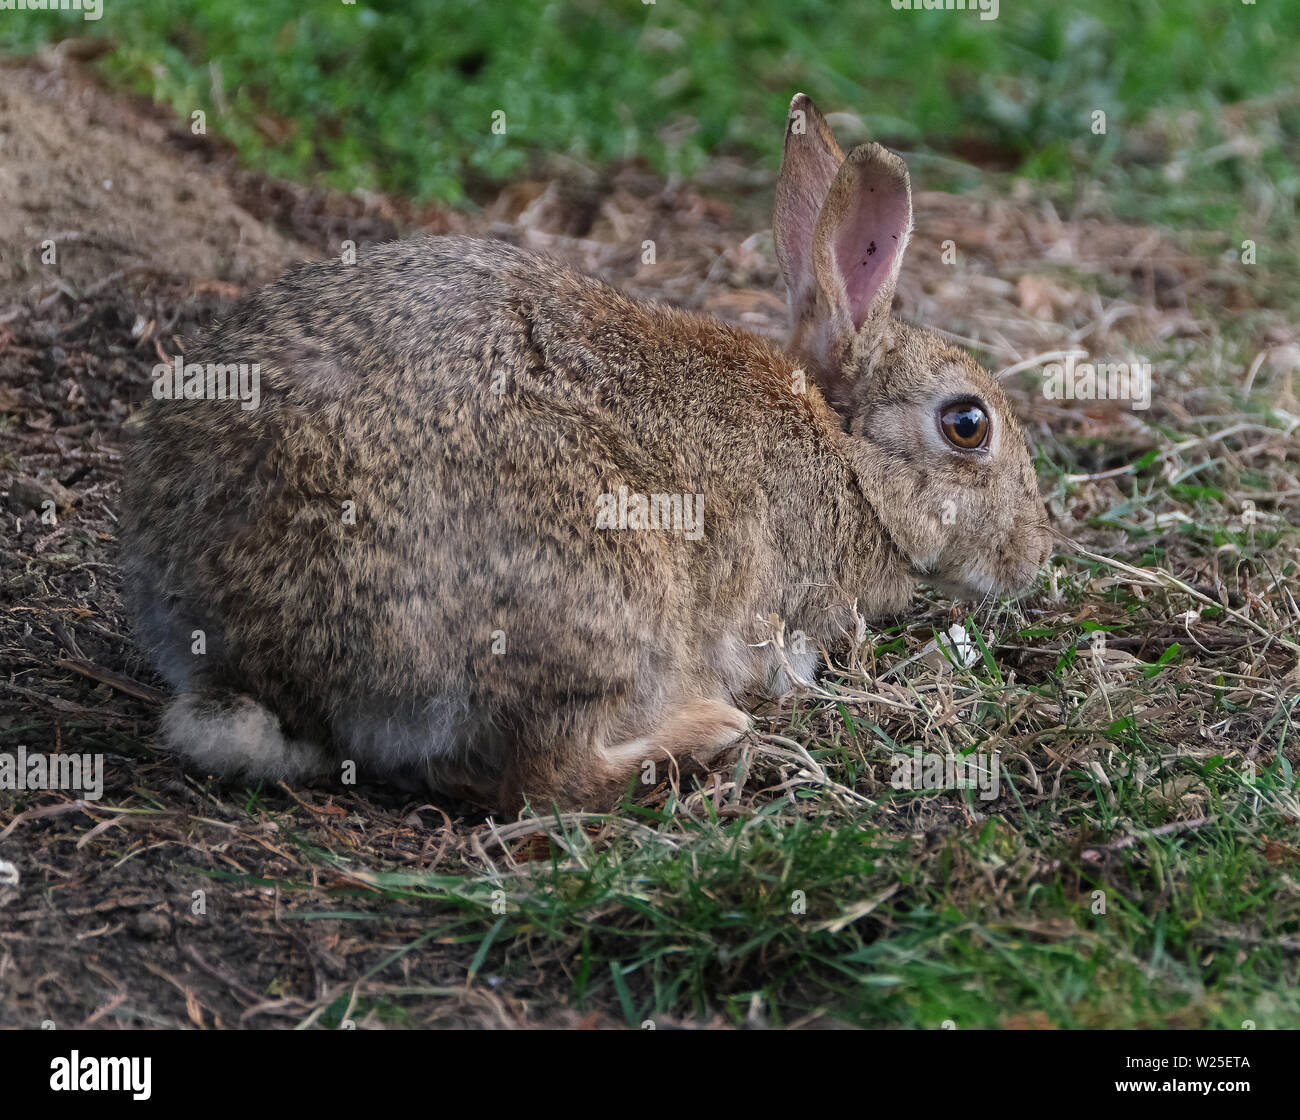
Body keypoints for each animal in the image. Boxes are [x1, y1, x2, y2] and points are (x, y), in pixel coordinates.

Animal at [119, 96, 1055, 810]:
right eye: (966, 425)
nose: (1034, 556)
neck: (845, 453)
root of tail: (249, 652)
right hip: (604, 591)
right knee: (542, 777)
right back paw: (706, 733)